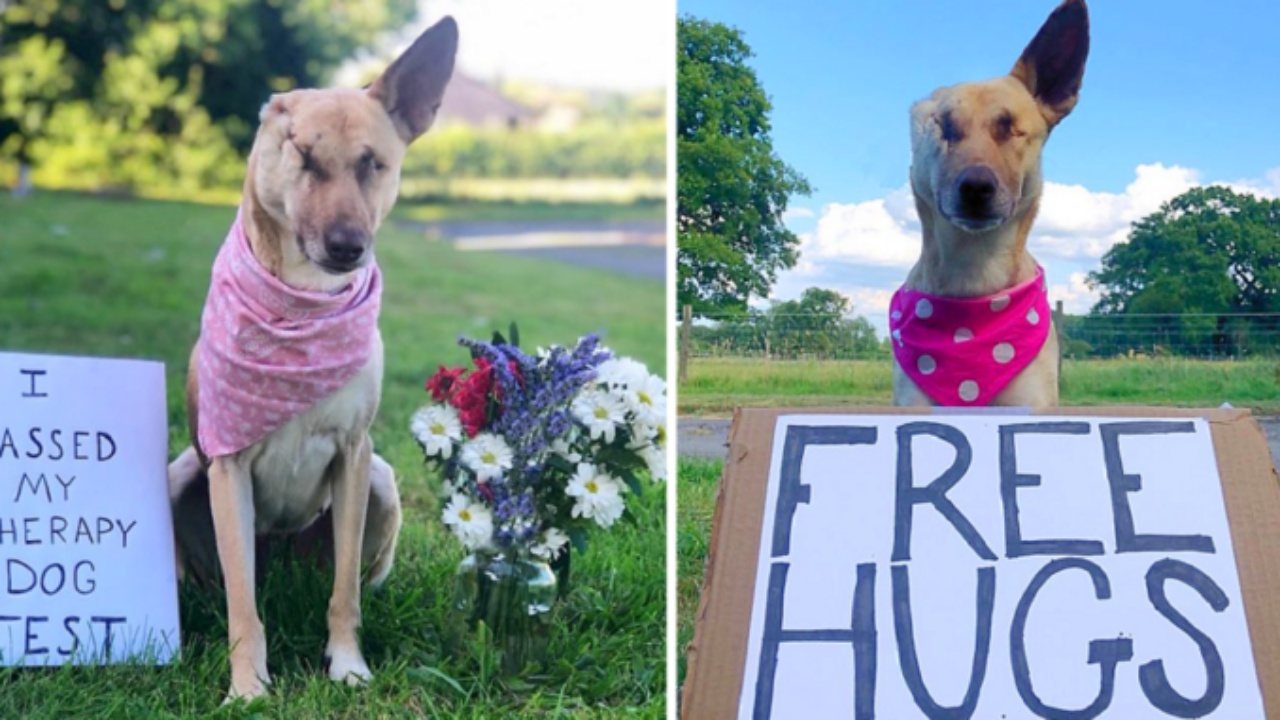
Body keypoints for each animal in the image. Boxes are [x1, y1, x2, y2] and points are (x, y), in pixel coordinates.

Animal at [167, 18, 460, 702]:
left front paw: (347, 664)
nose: (349, 247)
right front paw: (247, 688)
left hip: (381, 481)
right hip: (179, 477)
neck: (301, 308)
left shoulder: (354, 454)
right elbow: (243, 604)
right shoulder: (226, 467)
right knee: (227, 582)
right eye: (302, 155)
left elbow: (344, 591)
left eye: (373, 163)